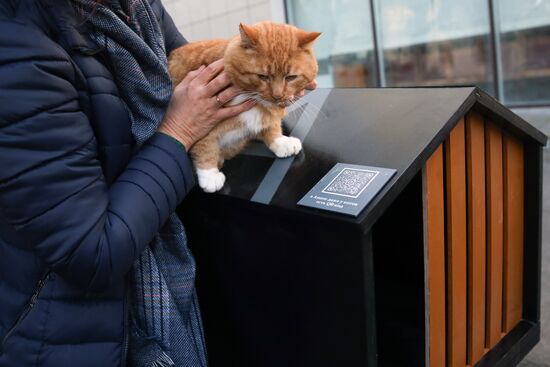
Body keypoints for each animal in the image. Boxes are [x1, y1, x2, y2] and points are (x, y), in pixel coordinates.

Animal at [170, 21, 322, 193]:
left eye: (290, 77)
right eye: (263, 76)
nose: (277, 96)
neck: (251, 98)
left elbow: (272, 126)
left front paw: (280, 141)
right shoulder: (201, 121)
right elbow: (205, 147)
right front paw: (209, 175)